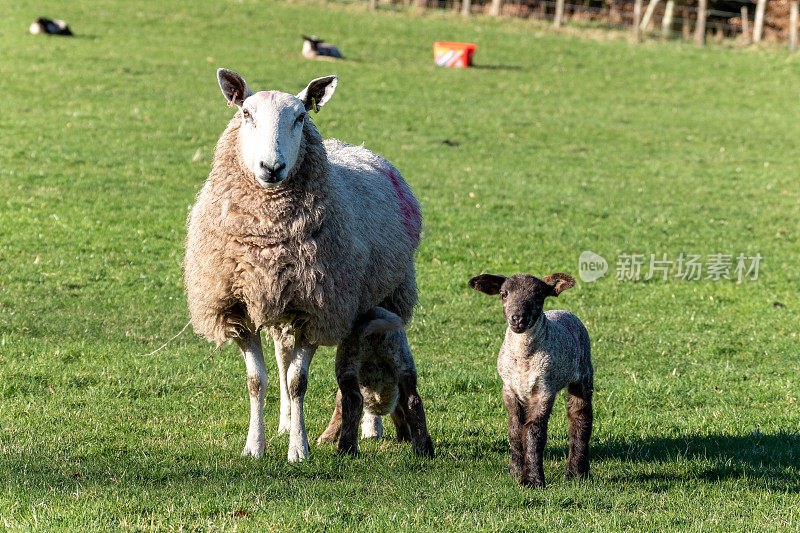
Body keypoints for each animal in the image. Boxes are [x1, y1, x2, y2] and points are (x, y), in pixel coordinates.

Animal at [316, 306, 434, 456]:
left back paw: (346, 448)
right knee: (413, 401)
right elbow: (401, 414)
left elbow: (338, 413)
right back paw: (422, 448)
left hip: (348, 360)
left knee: (353, 400)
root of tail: (376, 315)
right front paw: (406, 439)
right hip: (403, 361)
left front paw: (325, 439)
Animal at [466, 274, 592, 486]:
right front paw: (515, 473)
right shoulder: (509, 389)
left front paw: (532, 480)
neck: (524, 358)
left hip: (583, 373)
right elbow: (515, 430)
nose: (518, 319)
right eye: (503, 294)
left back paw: (577, 473)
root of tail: (565, 311)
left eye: (539, 295)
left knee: (580, 418)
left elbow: (534, 432)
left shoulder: (544, 389)